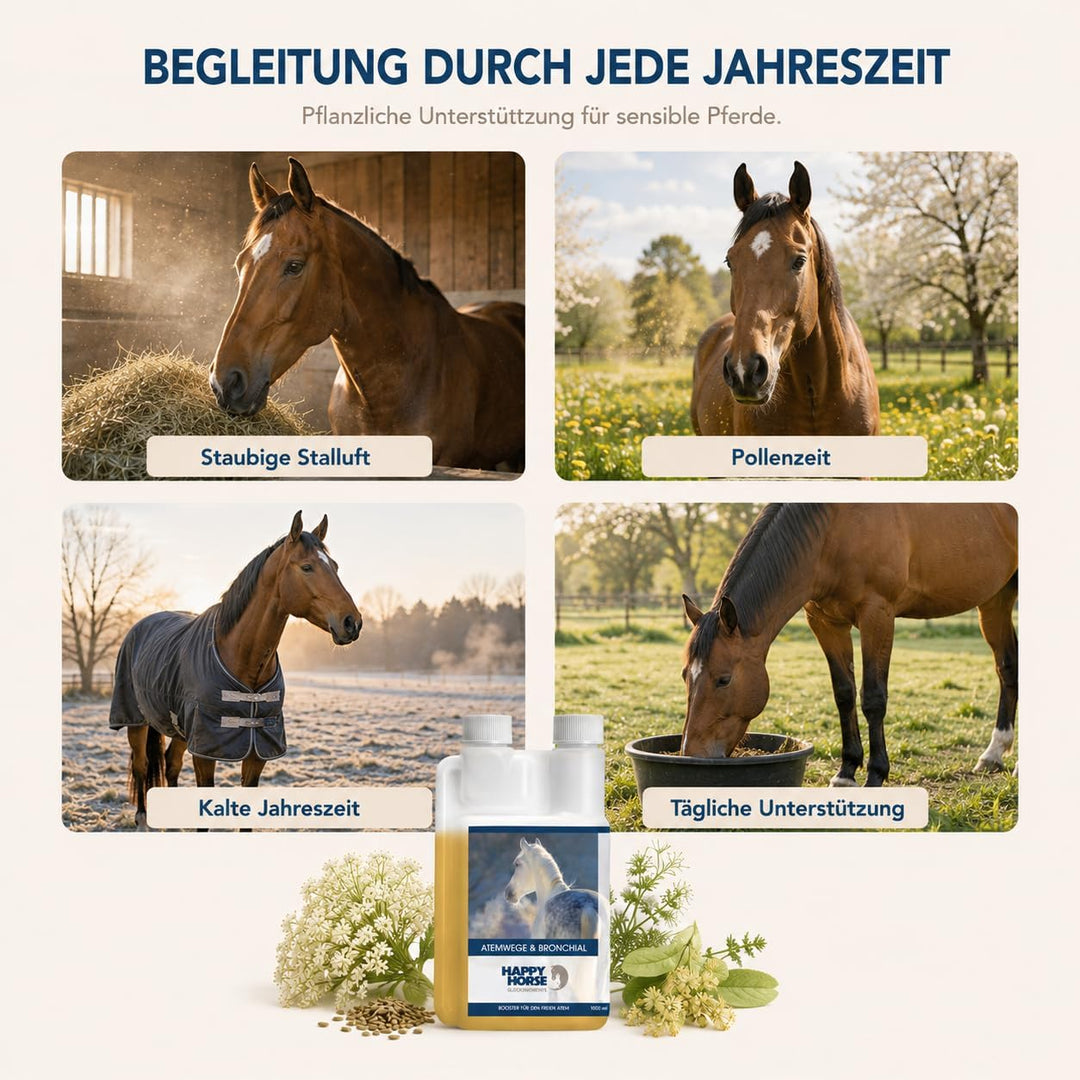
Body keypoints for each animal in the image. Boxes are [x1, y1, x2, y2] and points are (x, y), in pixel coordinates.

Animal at [109, 511, 362, 829]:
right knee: (142, 765)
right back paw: (142, 818)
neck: (242, 659)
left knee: (170, 764)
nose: (352, 622)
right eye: (307, 567)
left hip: (180, 731)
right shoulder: (206, 750)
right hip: (135, 719)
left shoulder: (256, 751)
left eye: (335, 566)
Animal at [680, 504, 1018, 787]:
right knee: (1007, 667)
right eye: (685, 676)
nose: (692, 755)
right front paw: (846, 773)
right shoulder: (826, 623)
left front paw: (876, 775)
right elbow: (844, 693)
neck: (832, 532)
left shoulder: (877, 615)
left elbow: (873, 697)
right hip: (994, 600)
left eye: (724, 680)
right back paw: (994, 754)